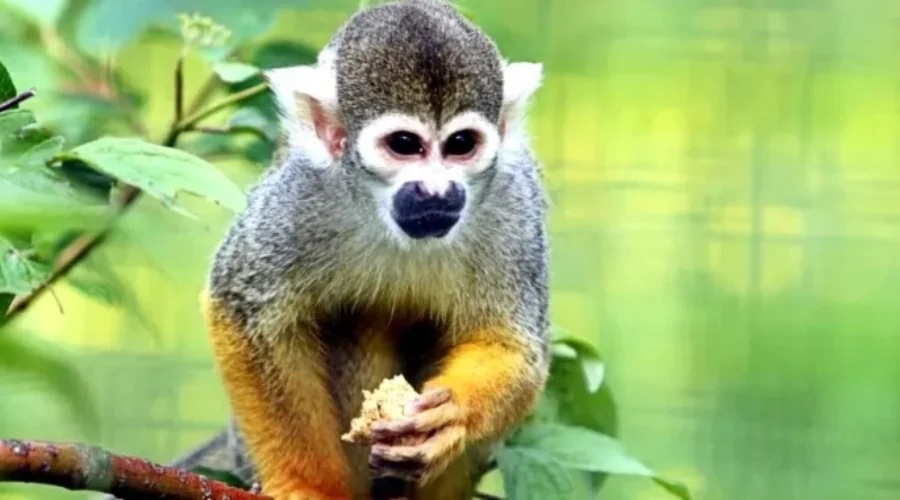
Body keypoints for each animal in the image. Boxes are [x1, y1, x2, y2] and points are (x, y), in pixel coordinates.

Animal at [196, 1, 550, 499]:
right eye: (404, 144)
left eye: (461, 144)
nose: (437, 192)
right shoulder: (296, 197)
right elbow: (244, 311)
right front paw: (307, 484)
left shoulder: (514, 204)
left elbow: (513, 345)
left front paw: (450, 418)